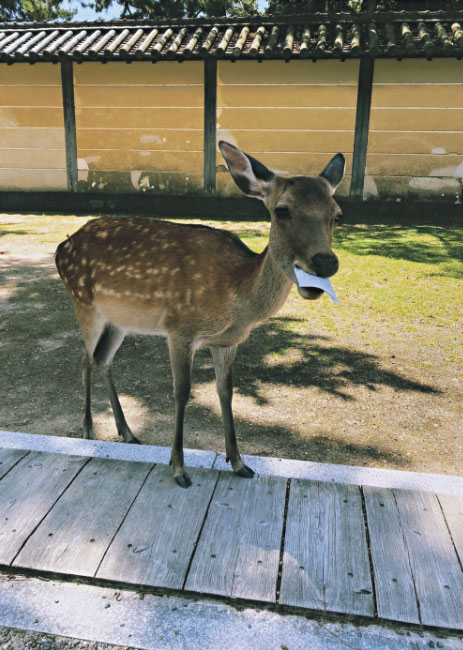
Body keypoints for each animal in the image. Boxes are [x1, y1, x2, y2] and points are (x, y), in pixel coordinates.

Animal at [55, 142, 344, 486]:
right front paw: (178, 467)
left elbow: (226, 392)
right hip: (84, 302)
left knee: (103, 359)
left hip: (119, 320)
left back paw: (127, 432)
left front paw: (239, 462)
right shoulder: (179, 328)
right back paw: (88, 429)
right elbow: (182, 392)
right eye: (282, 210)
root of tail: (61, 248)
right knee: (85, 358)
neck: (234, 301)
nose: (326, 262)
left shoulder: (227, 342)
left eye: (336, 214)